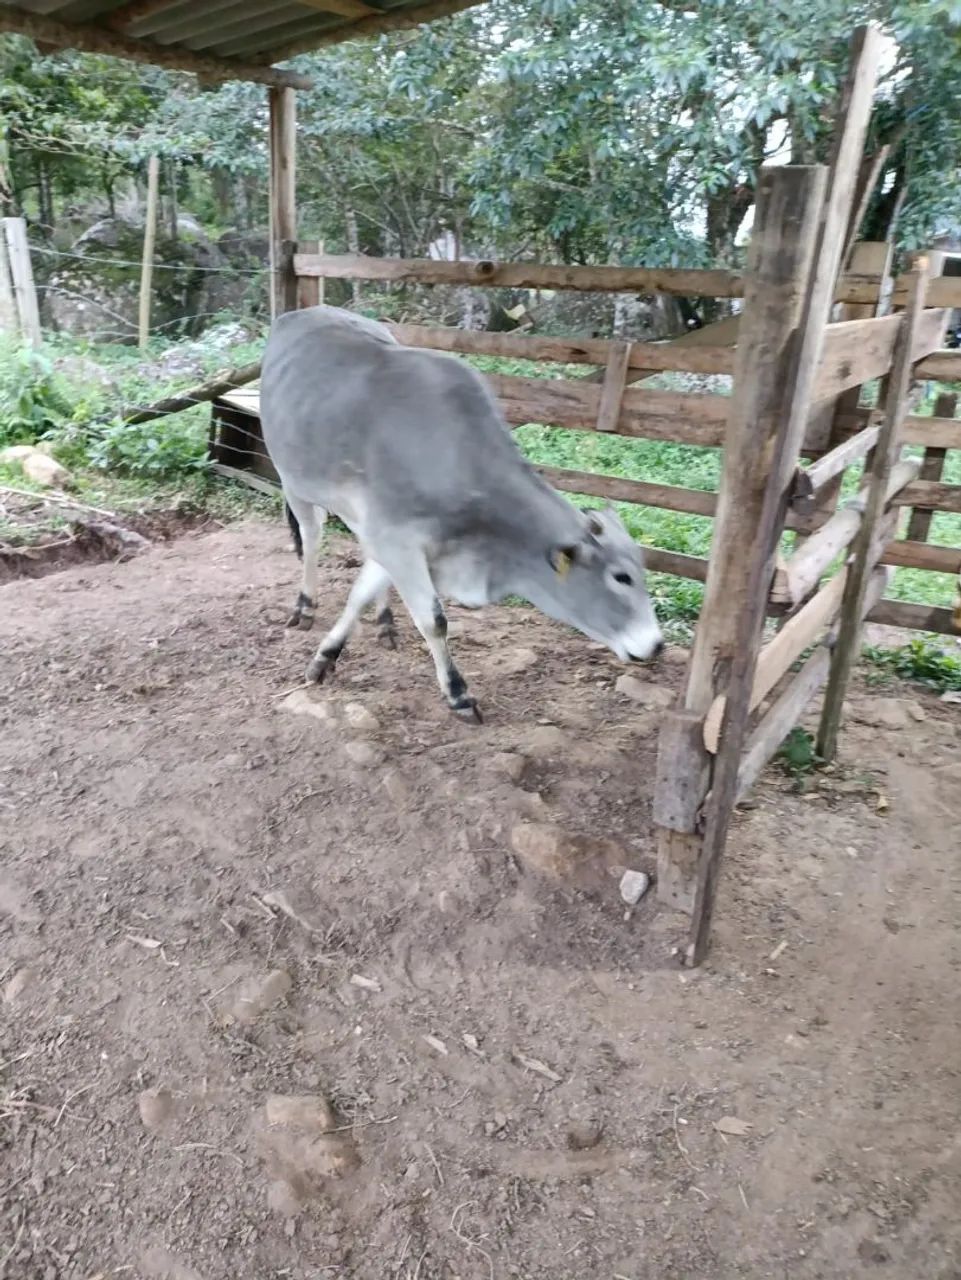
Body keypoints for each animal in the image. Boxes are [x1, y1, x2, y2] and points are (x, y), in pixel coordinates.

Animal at [260, 305, 663, 720]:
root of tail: (301, 313)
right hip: (293, 482)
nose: (656, 645)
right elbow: (434, 620)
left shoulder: (391, 540)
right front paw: (459, 694)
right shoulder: (398, 541)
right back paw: (305, 605)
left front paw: (327, 655)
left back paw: (385, 623)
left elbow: (360, 593)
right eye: (621, 577)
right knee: (311, 537)